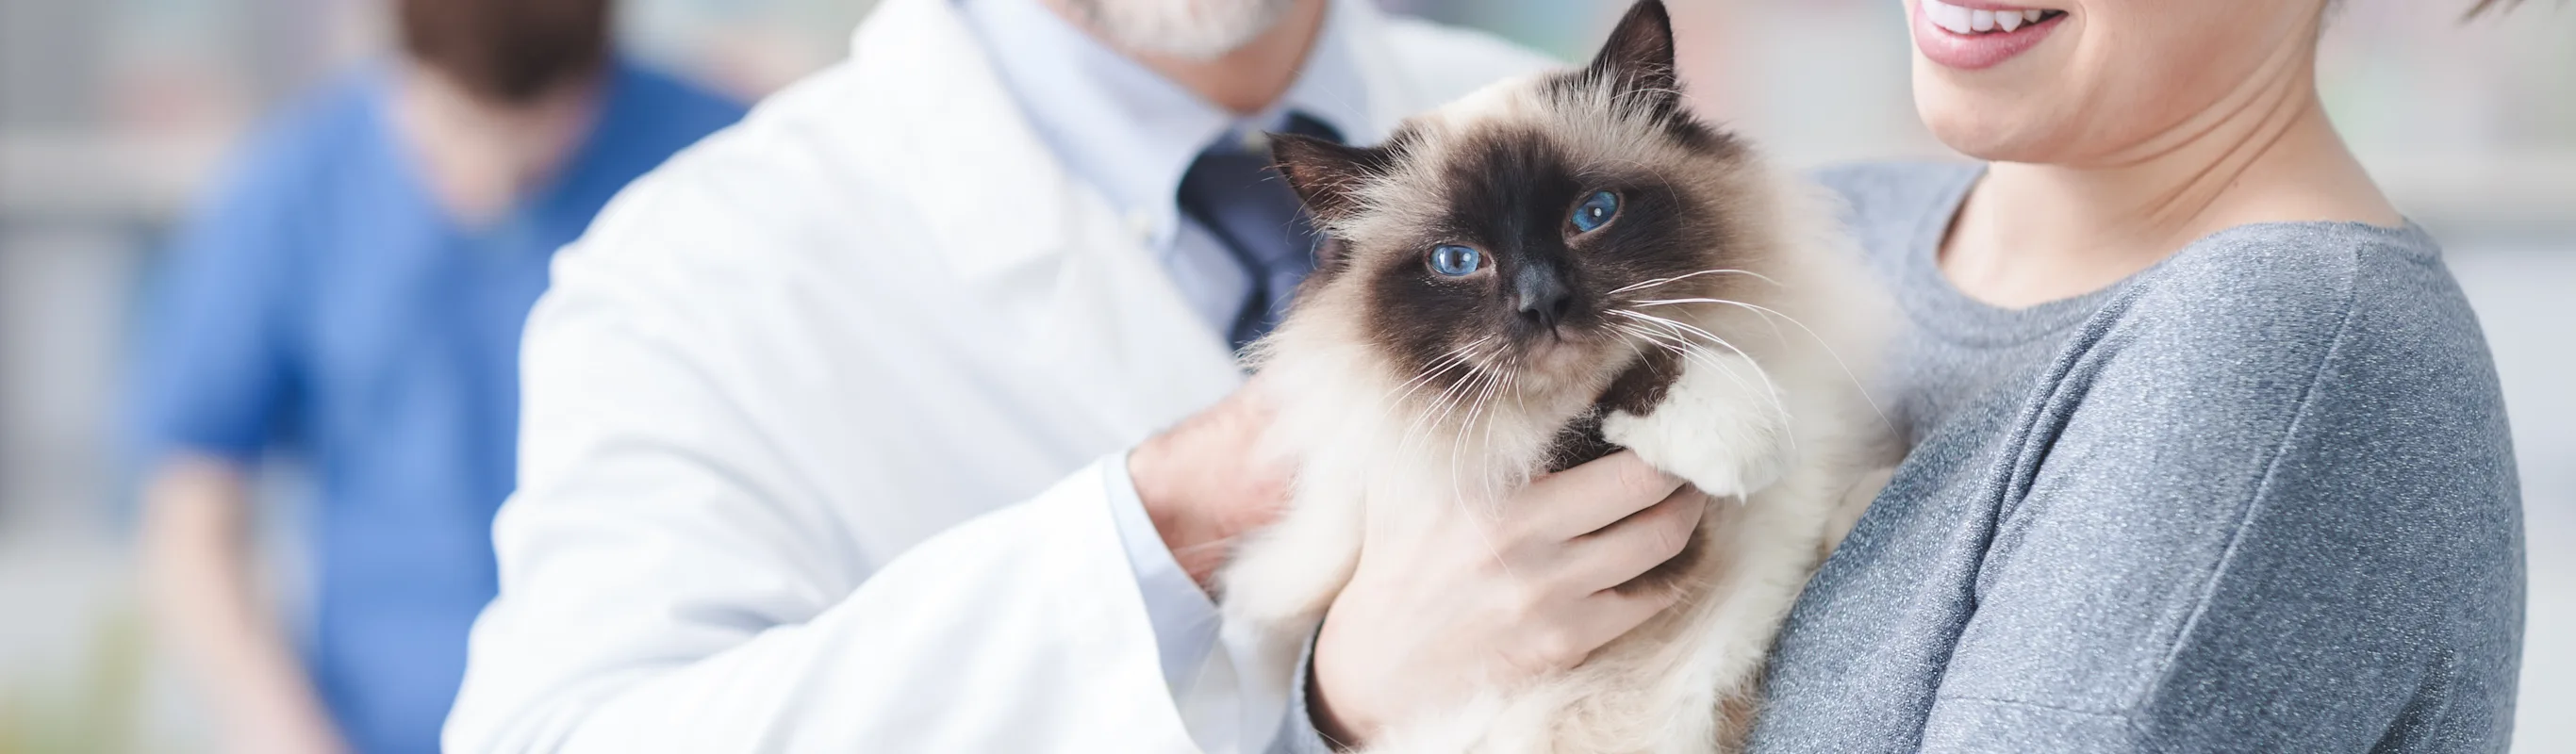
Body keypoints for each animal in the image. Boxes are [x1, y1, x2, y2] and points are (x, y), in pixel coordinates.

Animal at [1215, 3, 1906, 746]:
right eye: (1457, 261)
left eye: (1593, 214)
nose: (1542, 302)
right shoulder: (1485, 469)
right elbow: (1596, 408)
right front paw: (1747, 440)